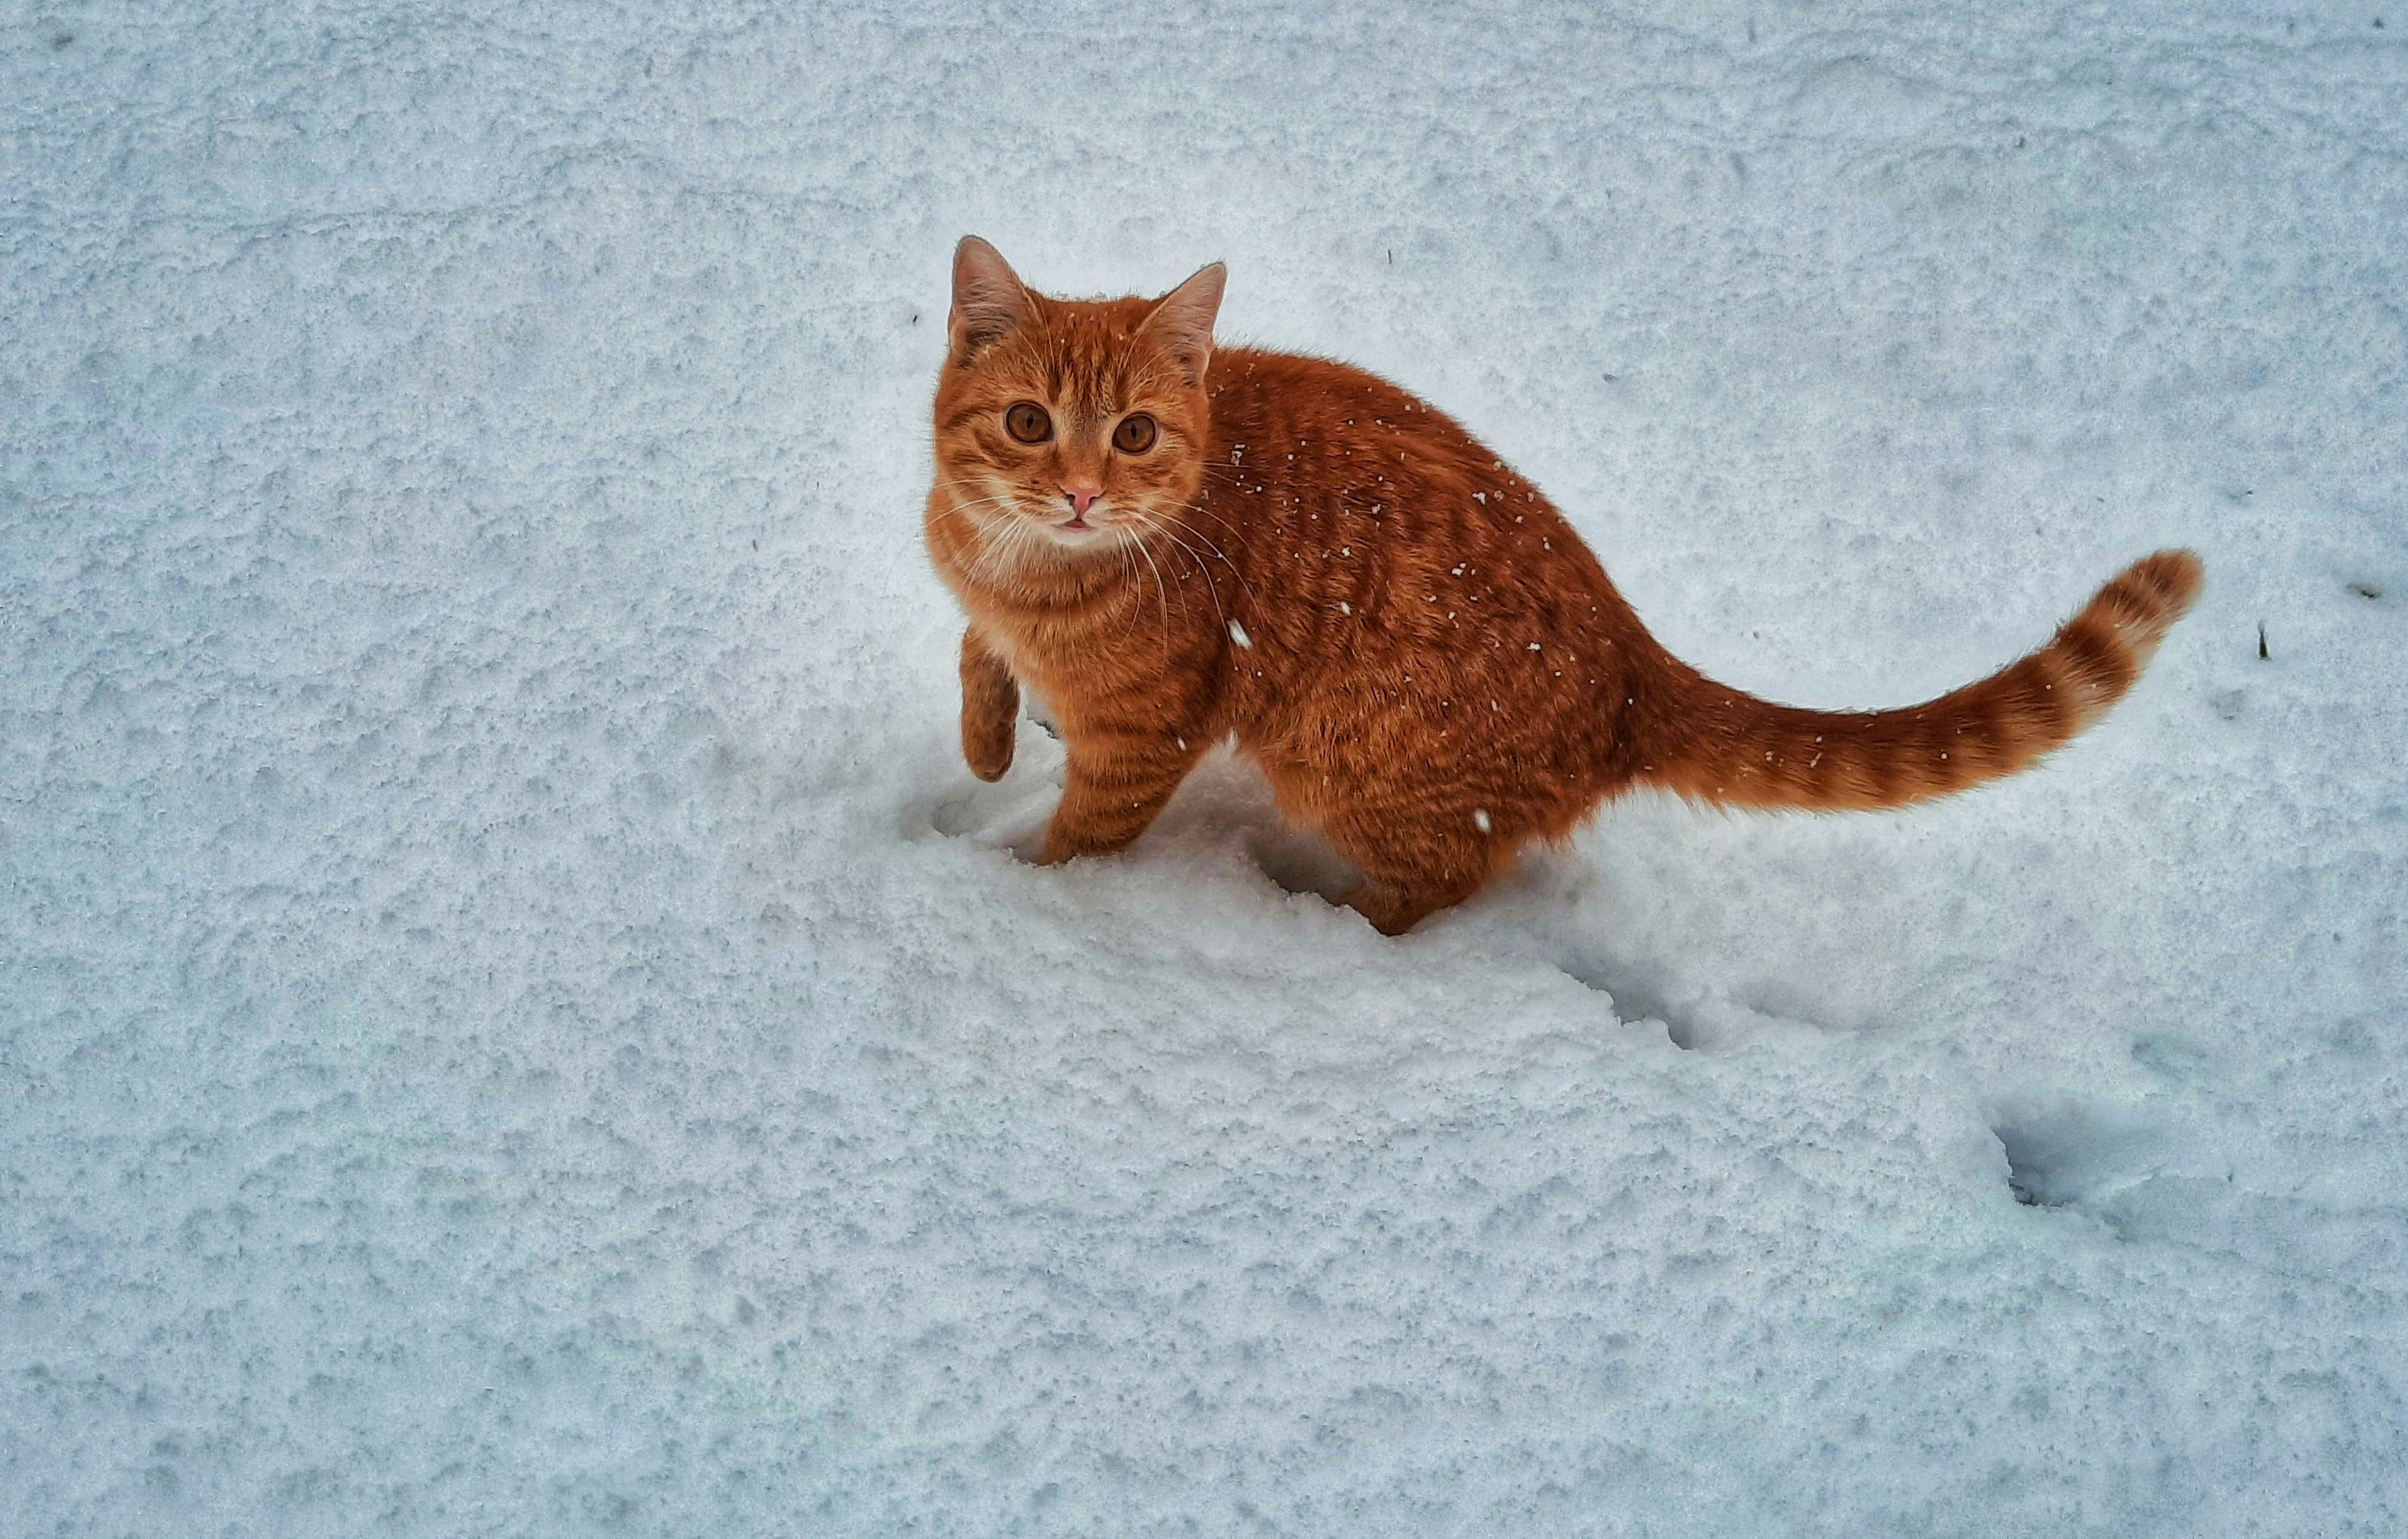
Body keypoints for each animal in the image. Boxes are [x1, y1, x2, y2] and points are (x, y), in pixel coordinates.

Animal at [915, 238, 2206, 939]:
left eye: (1134, 433)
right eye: (1030, 423)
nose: (1081, 492)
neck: (1025, 566)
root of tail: (1638, 663)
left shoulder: (1145, 738)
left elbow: (1082, 838)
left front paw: (1023, 900)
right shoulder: (977, 601)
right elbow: (974, 660)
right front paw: (988, 740)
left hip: (1349, 767)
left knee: (1442, 886)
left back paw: (1320, 927)